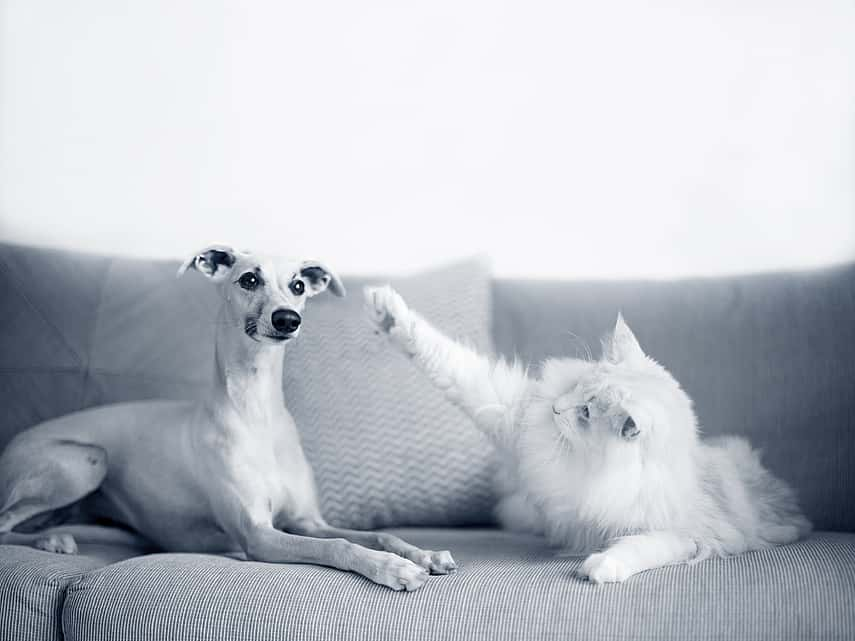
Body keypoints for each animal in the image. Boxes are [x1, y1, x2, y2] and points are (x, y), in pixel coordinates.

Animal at [0, 245, 454, 592]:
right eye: (249, 279)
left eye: (298, 286)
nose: (287, 319)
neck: (257, 414)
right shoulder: (258, 535)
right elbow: (339, 545)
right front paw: (393, 568)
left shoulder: (305, 521)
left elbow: (376, 533)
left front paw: (423, 553)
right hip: (88, 459)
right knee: (4, 523)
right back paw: (54, 541)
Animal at [364, 282, 812, 584]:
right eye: (578, 391)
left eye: (585, 413)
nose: (554, 409)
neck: (598, 469)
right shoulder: (510, 414)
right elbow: (445, 360)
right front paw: (388, 314)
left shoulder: (691, 535)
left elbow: (642, 545)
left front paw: (601, 566)